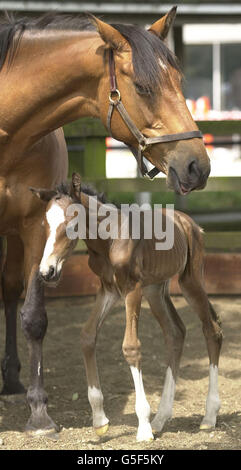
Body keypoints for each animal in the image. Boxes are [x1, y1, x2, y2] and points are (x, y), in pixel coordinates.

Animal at [31, 174, 223, 442]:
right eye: (44, 225)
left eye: (71, 224)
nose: (46, 272)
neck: (109, 240)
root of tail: (188, 222)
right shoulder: (108, 290)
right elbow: (87, 336)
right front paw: (100, 420)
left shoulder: (132, 289)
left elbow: (131, 347)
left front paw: (142, 427)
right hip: (155, 289)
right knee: (175, 332)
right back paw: (161, 418)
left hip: (190, 280)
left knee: (211, 330)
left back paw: (208, 416)